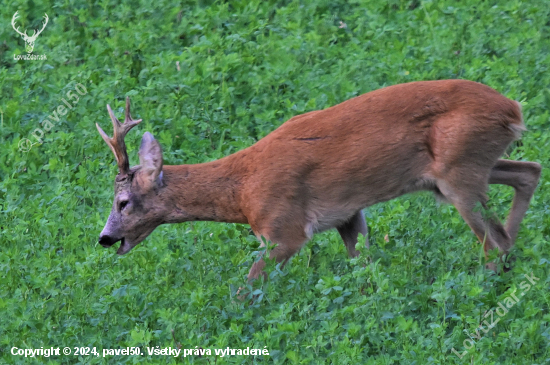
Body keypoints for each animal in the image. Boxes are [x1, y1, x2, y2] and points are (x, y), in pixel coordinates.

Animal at [98, 79, 544, 278]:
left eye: (123, 202)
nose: (103, 238)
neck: (241, 192)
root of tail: (512, 109)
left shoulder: (285, 228)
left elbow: (247, 287)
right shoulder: (348, 215)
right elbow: (363, 268)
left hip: (458, 173)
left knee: (491, 242)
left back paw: (499, 269)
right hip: (467, 167)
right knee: (529, 172)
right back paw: (517, 251)